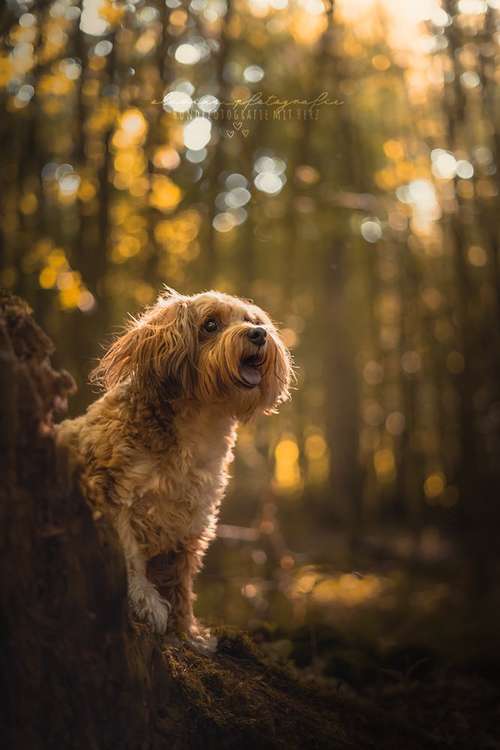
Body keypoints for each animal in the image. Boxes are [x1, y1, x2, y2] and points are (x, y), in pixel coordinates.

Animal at [57, 288, 292, 652]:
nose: (258, 334)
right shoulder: (110, 493)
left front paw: (188, 631)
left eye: (250, 320)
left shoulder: (191, 519)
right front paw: (146, 602)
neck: (197, 429)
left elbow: (181, 579)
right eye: (210, 325)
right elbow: (130, 558)